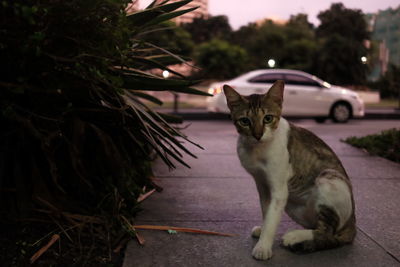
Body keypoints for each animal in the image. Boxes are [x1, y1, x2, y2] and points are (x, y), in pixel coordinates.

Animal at [223, 80, 358, 260]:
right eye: (245, 121)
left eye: (268, 118)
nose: (258, 135)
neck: (256, 150)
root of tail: (353, 226)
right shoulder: (262, 185)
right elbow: (267, 212)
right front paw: (263, 231)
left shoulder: (279, 190)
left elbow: (272, 218)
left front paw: (263, 247)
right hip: (293, 205)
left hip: (328, 178)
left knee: (327, 233)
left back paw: (294, 236)